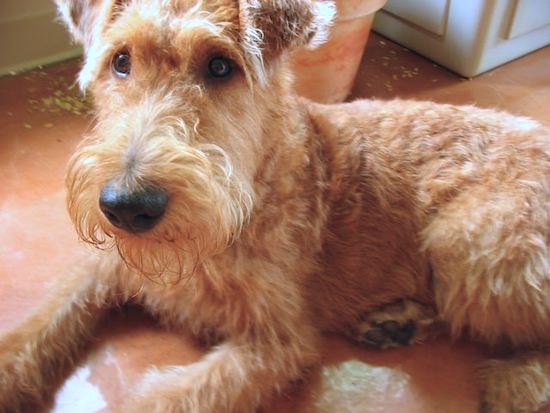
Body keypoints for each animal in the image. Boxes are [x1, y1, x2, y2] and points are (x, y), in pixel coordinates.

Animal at [0, 0, 548, 410]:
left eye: (220, 65)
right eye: (120, 60)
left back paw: (514, 387)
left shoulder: (276, 342)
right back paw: (396, 321)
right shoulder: (102, 268)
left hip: (469, 246)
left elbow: (163, 399)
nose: (128, 208)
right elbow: (30, 332)